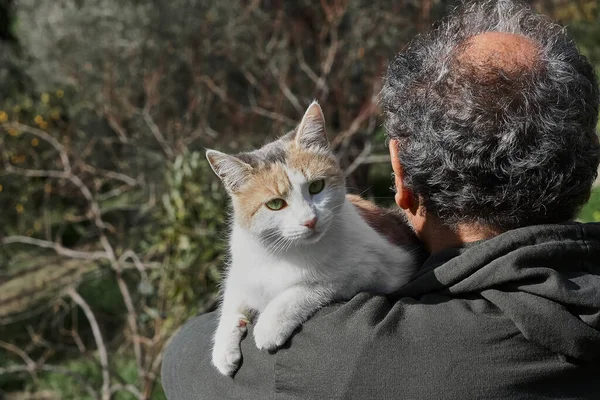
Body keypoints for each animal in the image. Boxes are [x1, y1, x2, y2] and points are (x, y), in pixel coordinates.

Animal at [206, 101, 422, 376]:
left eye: (316, 187)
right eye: (275, 204)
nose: (310, 220)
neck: (286, 253)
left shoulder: (384, 267)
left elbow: (315, 284)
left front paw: (269, 323)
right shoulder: (242, 270)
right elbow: (231, 298)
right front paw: (223, 348)